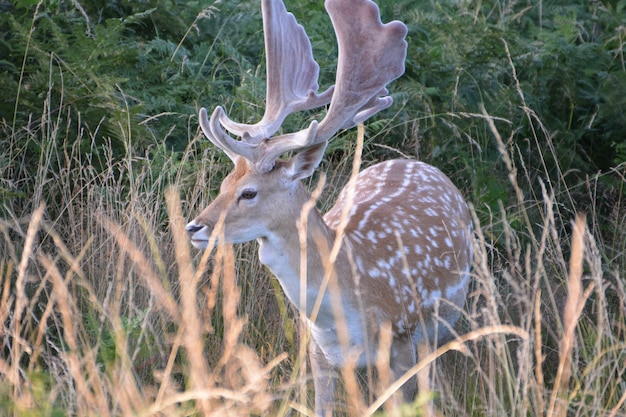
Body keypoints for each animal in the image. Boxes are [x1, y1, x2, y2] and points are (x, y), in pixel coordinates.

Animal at [185, 0, 472, 412]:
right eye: (224, 184)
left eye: (249, 193)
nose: (194, 227)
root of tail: (420, 163)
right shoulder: (319, 352)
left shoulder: (400, 337)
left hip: (443, 323)